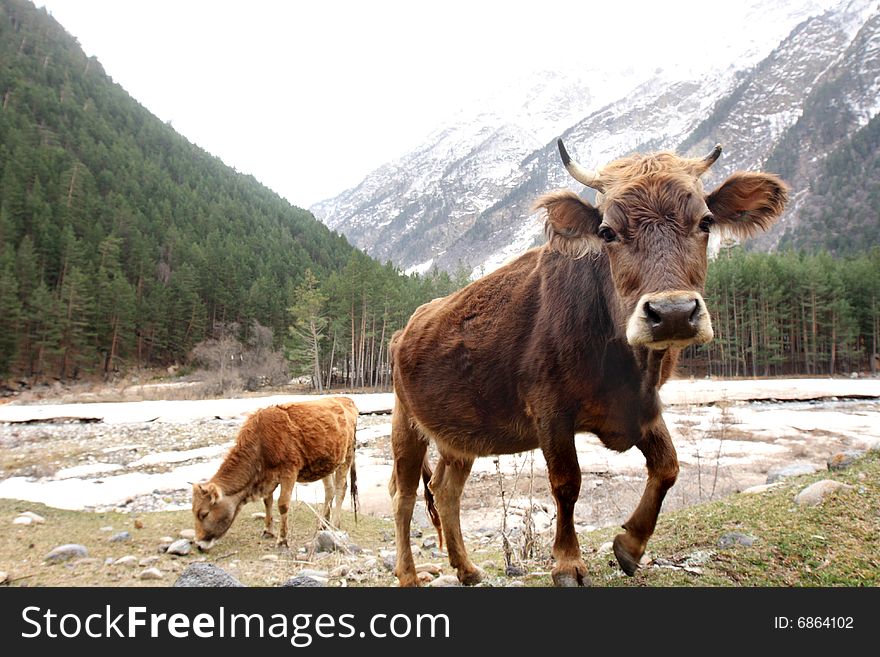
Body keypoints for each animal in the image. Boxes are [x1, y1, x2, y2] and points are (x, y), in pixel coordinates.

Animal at [192, 392, 358, 552]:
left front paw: (282, 540)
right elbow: (267, 501)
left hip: (347, 455)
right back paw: (323, 525)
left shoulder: (289, 471)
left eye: (204, 513)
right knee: (329, 490)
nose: (199, 544)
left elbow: (283, 504)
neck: (261, 443)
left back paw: (334, 525)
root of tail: (345, 399)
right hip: (327, 463)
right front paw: (268, 531)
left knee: (340, 490)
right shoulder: (268, 477)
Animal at [388, 138, 788, 584]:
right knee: (404, 498)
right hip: (406, 423)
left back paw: (468, 568)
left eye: (705, 222)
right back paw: (409, 574)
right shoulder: (551, 413)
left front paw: (630, 545)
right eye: (607, 231)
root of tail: (408, 327)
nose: (673, 313)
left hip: (460, 435)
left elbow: (668, 467)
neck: (627, 365)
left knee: (445, 490)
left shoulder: (642, 407)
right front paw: (567, 563)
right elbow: (567, 484)